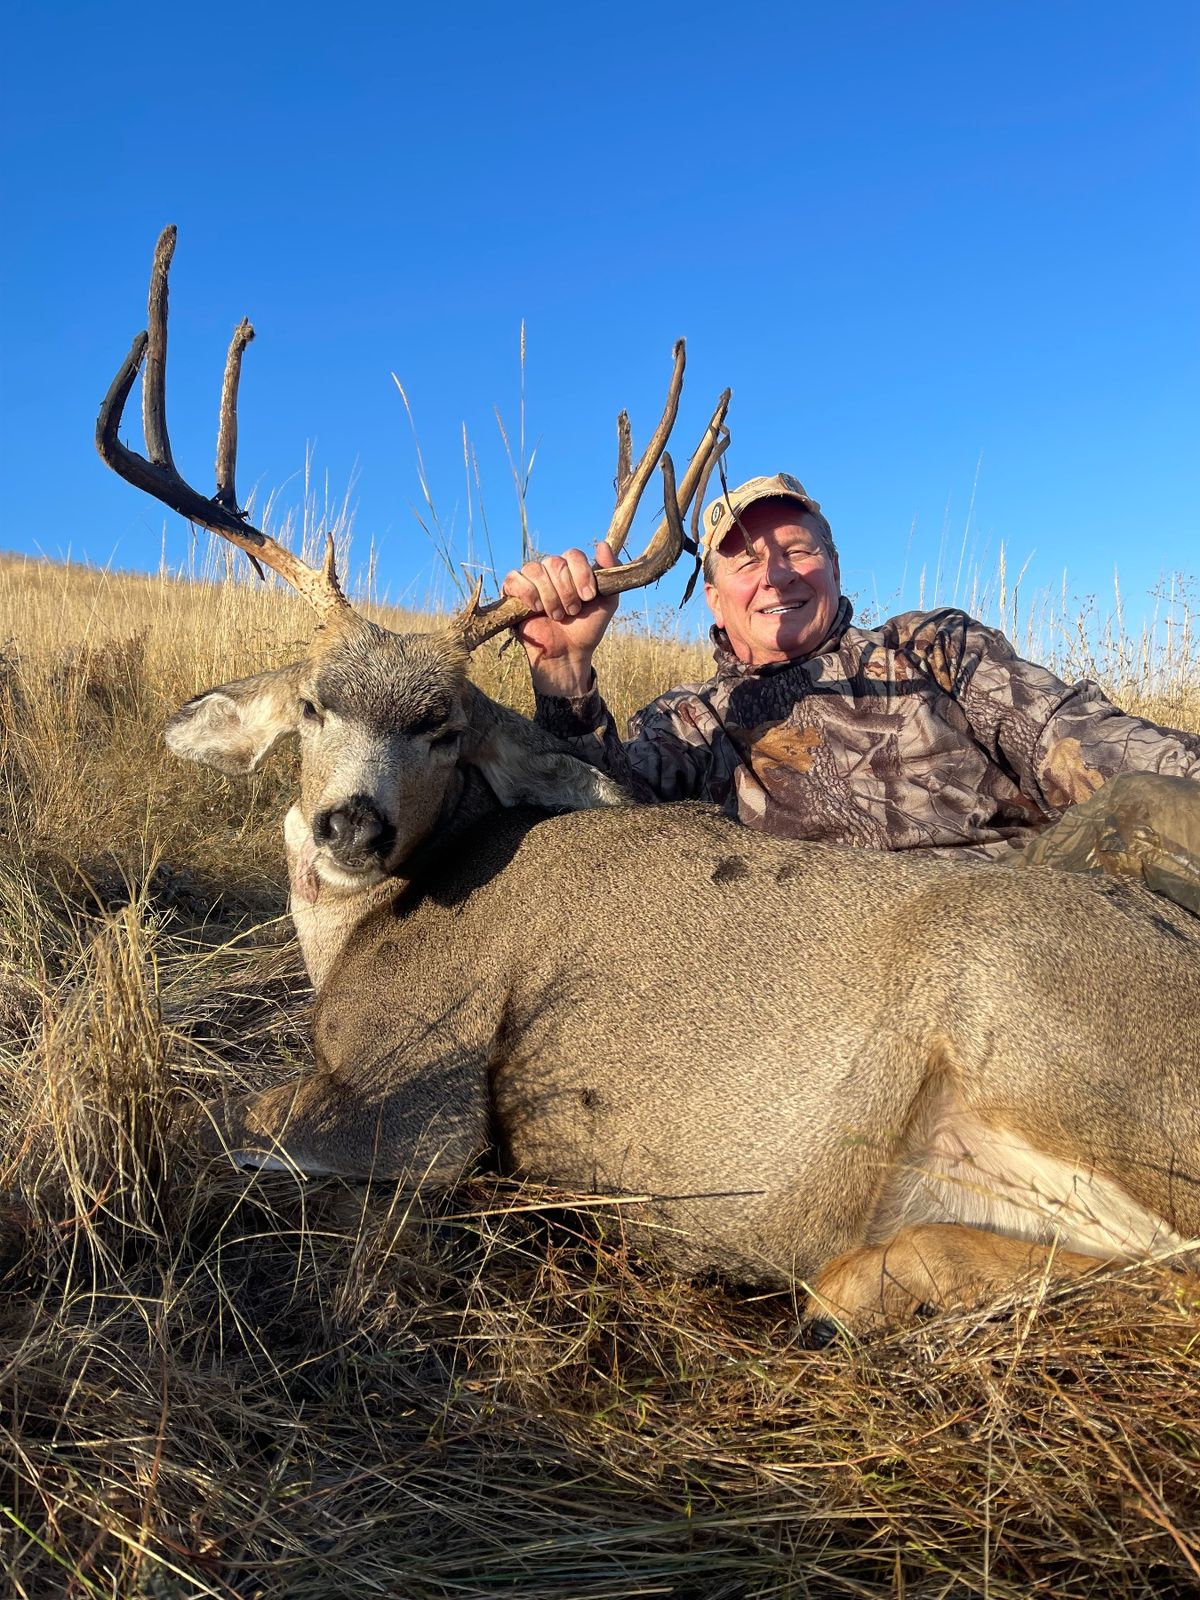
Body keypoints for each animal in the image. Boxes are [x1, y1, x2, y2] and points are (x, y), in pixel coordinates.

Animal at [97, 228, 1200, 1331]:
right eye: (315, 706)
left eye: (444, 728)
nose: (352, 827)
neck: (367, 925)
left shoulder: (418, 1087)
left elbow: (221, 1120)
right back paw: (863, 1285)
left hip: (1041, 1024)